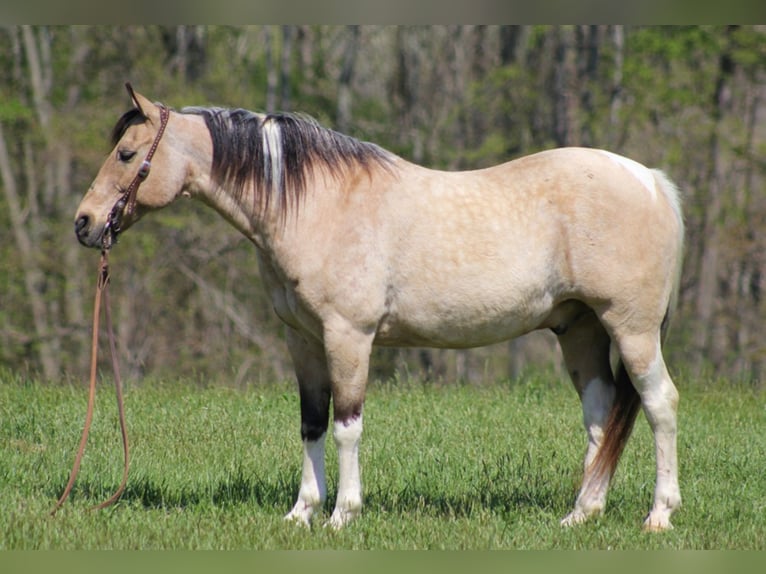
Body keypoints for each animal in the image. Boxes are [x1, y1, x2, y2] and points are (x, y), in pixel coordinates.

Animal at [75, 85, 688, 532]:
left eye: (127, 154)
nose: (84, 223)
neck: (316, 205)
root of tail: (651, 181)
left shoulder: (349, 336)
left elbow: (348, 425)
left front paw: (342, 515)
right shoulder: (302, 339)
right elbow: (312, 423)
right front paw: (301, 512)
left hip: (630, 328)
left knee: (659, 403)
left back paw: (658, 515)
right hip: (580, 329)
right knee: (600, 416)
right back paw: (581, 513)